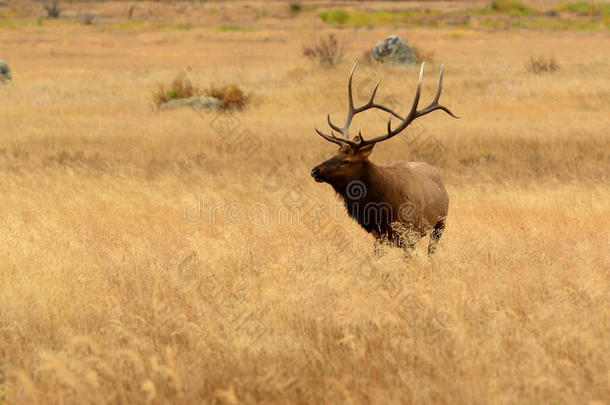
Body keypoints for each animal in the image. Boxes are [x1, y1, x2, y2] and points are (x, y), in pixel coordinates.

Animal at [312, 61, 458, 254]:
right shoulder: (378, 235)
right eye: (335, 153)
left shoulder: (409, 234)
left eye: (346, 161)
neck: (383, 208)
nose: (315, 171)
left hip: (440, 224)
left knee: (431, 250)